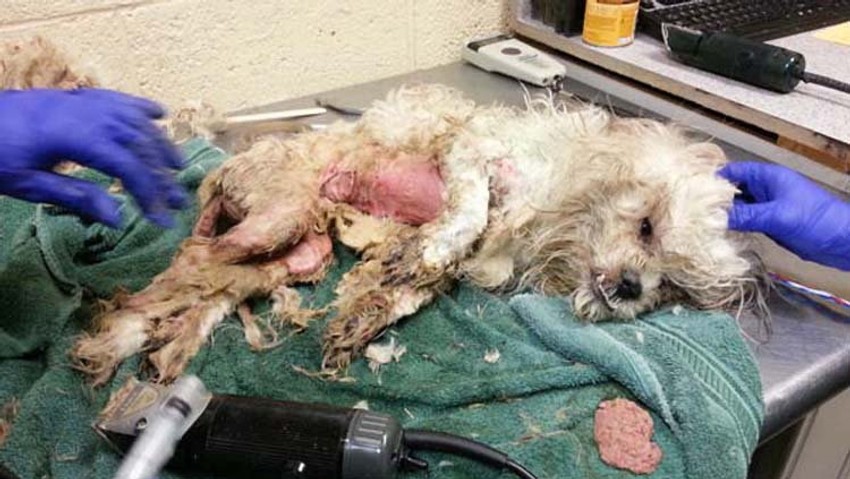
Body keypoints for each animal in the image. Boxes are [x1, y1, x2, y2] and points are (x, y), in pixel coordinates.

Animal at [64, 81, 768, 385]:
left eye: (672, 286)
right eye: (646, 226)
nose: (629, 288)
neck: (559, 196)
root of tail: (227, 165)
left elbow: (403, 292)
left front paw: (362, 320)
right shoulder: (470, 153)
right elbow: (465, 216)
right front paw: (430, 247)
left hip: (294, 254)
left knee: (209, 288)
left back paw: (153, 349)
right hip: (273, 222)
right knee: (186, 264)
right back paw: (115, 332)